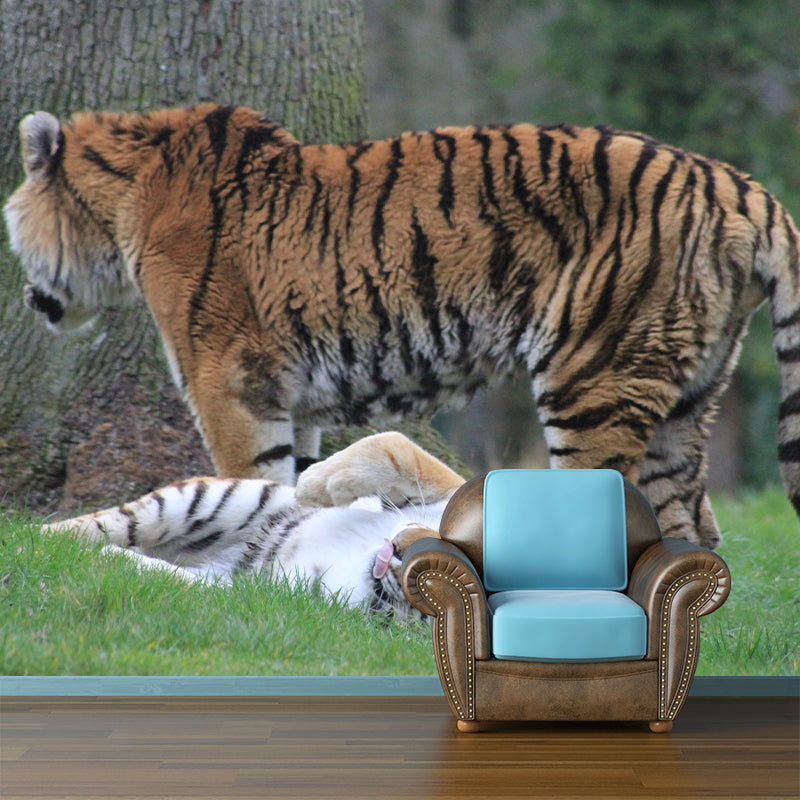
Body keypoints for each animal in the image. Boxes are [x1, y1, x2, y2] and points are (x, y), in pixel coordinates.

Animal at [5, 102, 800, 549]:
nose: (29, 299)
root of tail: (743, 188)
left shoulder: (226, 382)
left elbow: (247, 476)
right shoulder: (289, 398)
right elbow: (294, 475)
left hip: (594, 379)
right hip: (684, 398)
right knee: (693, 531)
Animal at [41, 432, 461, 619]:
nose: (404, 546)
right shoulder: (448, 490)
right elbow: (398, 447)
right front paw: (317, 483)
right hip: (220, 498)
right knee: (89, 526)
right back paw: (35, 543)